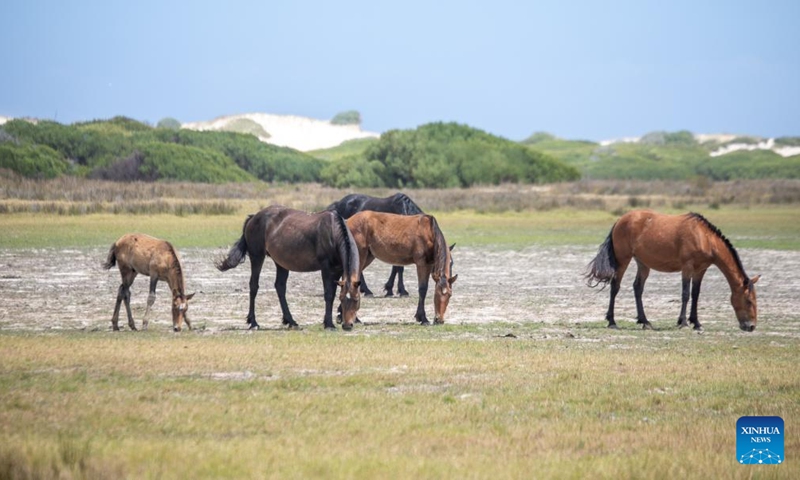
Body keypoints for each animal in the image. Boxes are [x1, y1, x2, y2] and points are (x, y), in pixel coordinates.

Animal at [216, 204, 360, 332]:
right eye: (343, 300)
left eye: (356, 299)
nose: (347, 325)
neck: (333, 231)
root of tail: (253, 217)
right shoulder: (325, 268)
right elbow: (328, 294)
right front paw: (329, 324)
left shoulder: (338, 270)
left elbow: (333, 293)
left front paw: (329, 321)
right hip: (257, 256)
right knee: (254, 285)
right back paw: (254, 322)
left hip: (280, 263)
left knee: (280, 287)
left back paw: (291, 321)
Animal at [584, 210, 760, 330]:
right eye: (749, 300)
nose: (751, 326)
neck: (704, 237)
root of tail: (620, 220)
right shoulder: (687, 267)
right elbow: (685, 294)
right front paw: (683, 322)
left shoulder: (700, 269)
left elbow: (696, 294)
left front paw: (696, 322)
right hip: (623, 259)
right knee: (615, 286)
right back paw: (612, 321)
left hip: (643, 263)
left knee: (637, 288)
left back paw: (645, 321)